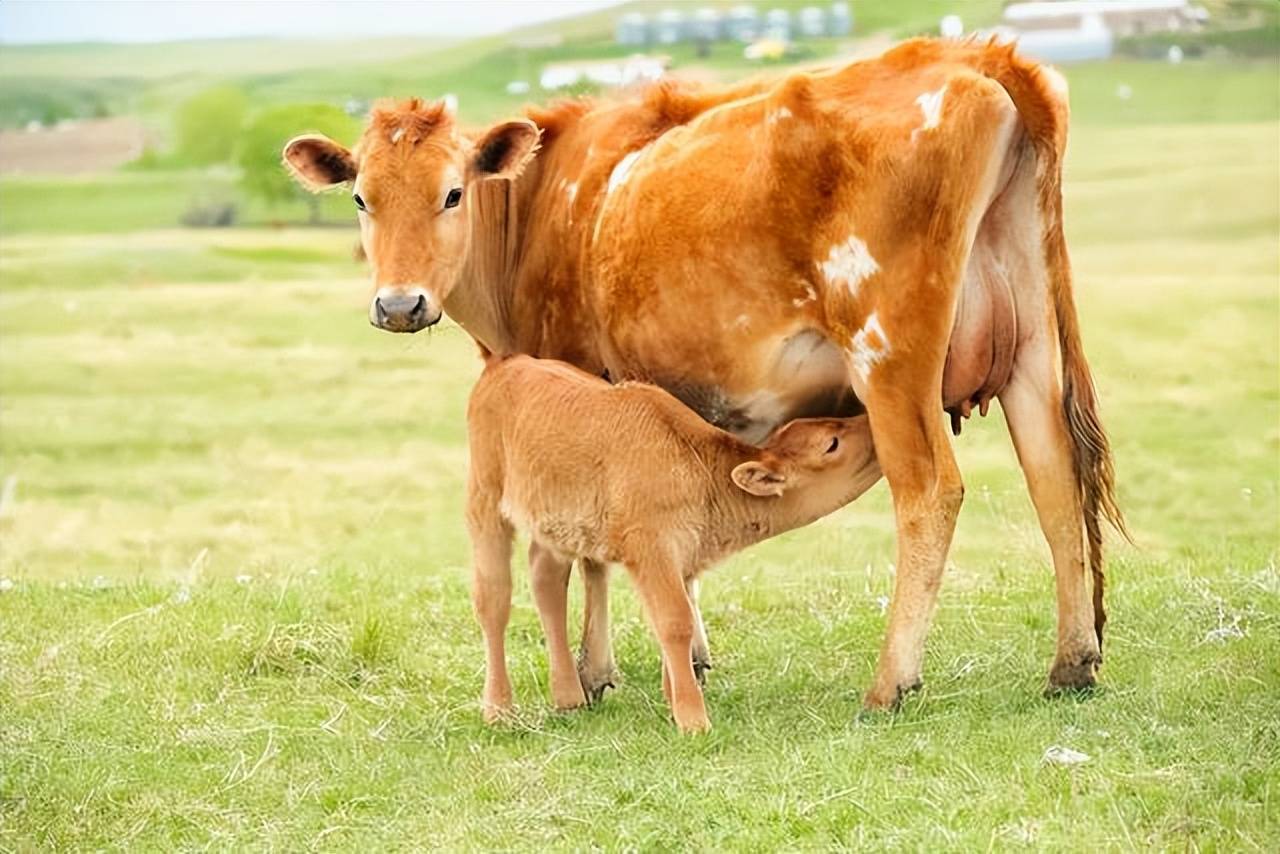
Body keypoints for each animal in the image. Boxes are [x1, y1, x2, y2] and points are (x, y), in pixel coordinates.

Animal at [468, 353, 880, 737]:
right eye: (831, 443)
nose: (872, 426)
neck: (698, 466)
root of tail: (506, 364)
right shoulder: (652, 550)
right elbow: (675, 622)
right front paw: (693, 719)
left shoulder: (680, 558)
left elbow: (670, 621)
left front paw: (673, 699)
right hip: (485, 504)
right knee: (493, 600)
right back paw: (498, 709)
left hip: (554, 526)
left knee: (547, 581)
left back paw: (569, 697)